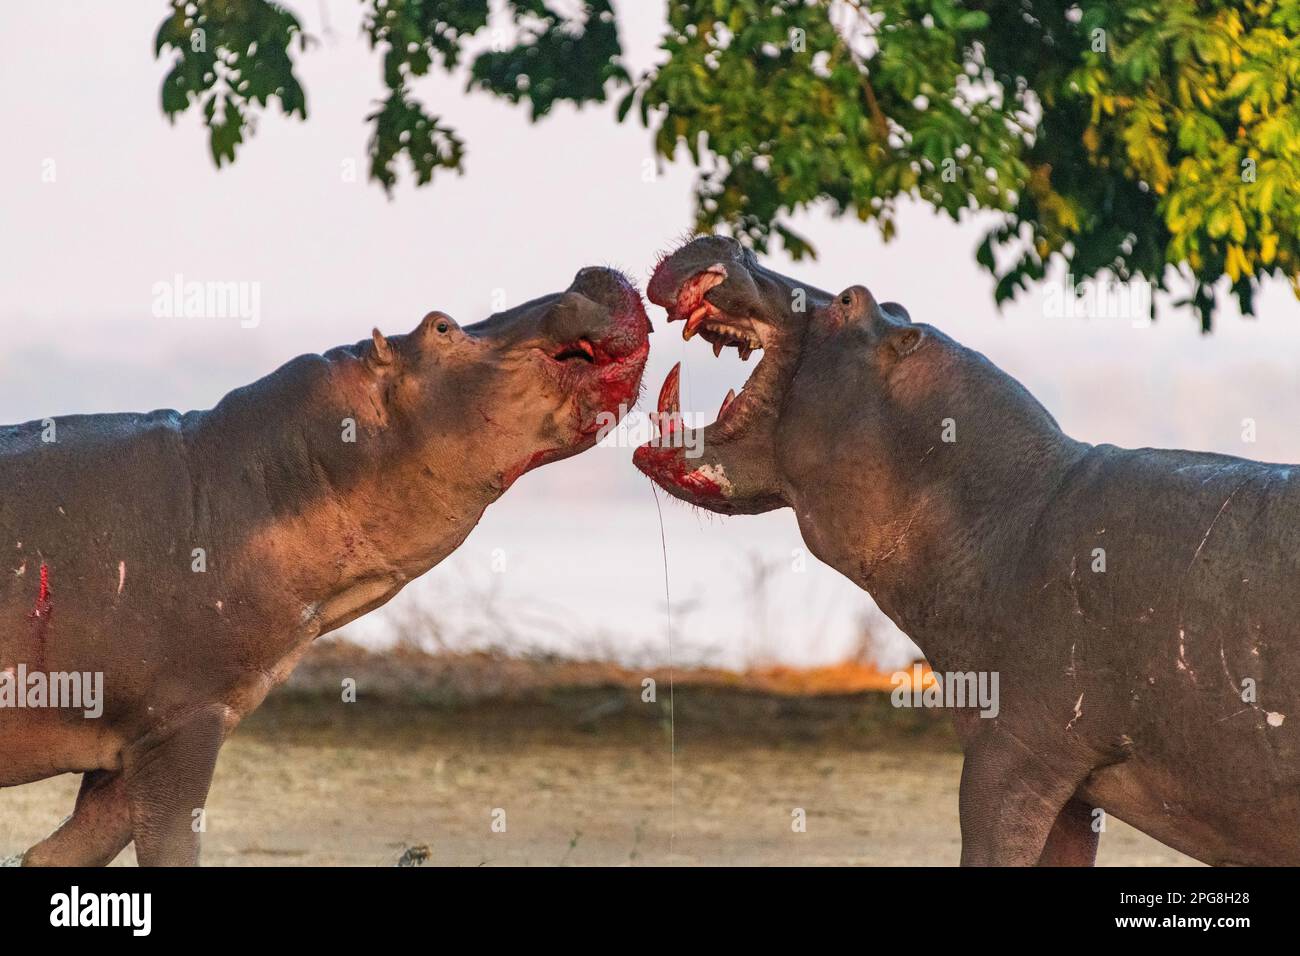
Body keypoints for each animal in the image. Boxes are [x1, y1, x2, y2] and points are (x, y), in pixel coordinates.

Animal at [0, 267, 650, 866]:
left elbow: (59, 852)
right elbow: (171, 845)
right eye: (440, 326)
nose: (587, 276)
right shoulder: (180, 719)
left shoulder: (144, 737)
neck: (250, 481)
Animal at [634, 235, 1300, 866]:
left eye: (850, 300)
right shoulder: (1070, 790)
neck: (1008, 504)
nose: (731, 246)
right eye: (890, 303)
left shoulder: (1008, 757)